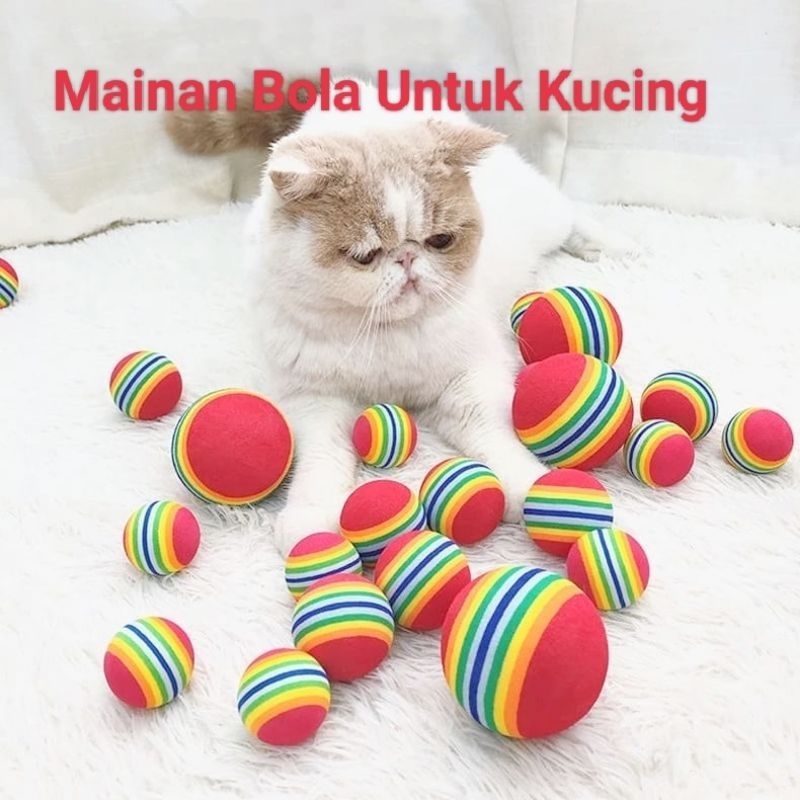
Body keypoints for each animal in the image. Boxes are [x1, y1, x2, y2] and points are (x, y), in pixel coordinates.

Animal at [166, 77, 630, 556]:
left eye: (441, 240)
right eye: (364, 256)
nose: (407, 259)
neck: (384, 340)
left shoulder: (471, 376)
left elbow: (492, 433)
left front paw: (535, 488)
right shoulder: (313, 398)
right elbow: (323, 456)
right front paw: (311, 518)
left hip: (540, 215)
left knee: (569, 212)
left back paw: (613, 245)